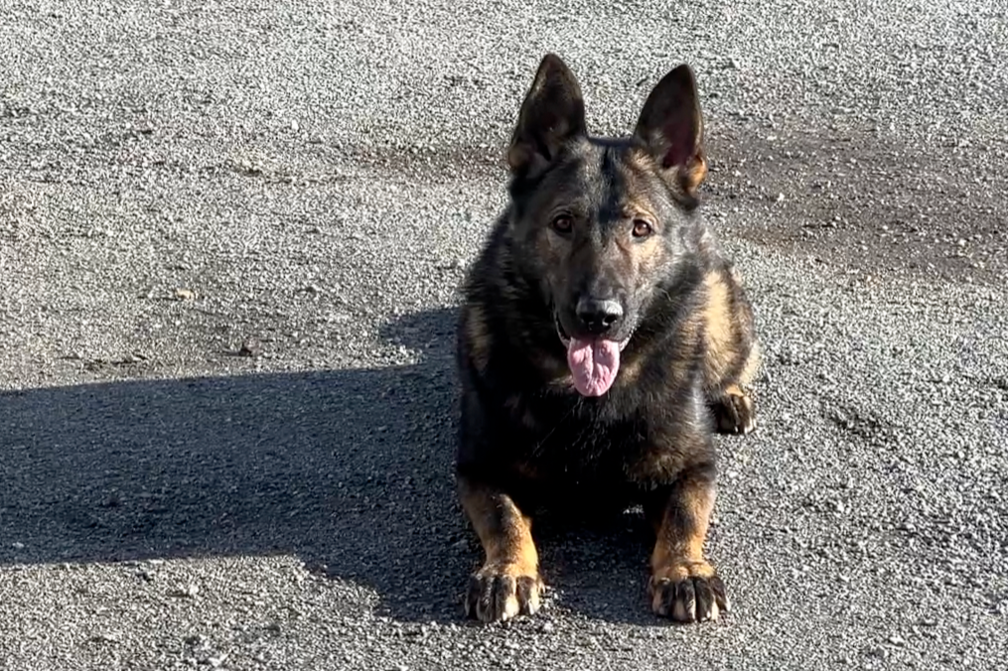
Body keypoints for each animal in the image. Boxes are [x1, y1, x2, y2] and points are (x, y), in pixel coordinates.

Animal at [455, 52, 758, 620]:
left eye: (640, 228)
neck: (590, 402)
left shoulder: (695, 467)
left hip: (721, 316)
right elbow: (504, 518)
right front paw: (507, 568)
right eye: (563, 223)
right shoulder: (479, 468)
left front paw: (684, 568)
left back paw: (729, 396)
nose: (599, 316)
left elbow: (685, 516)